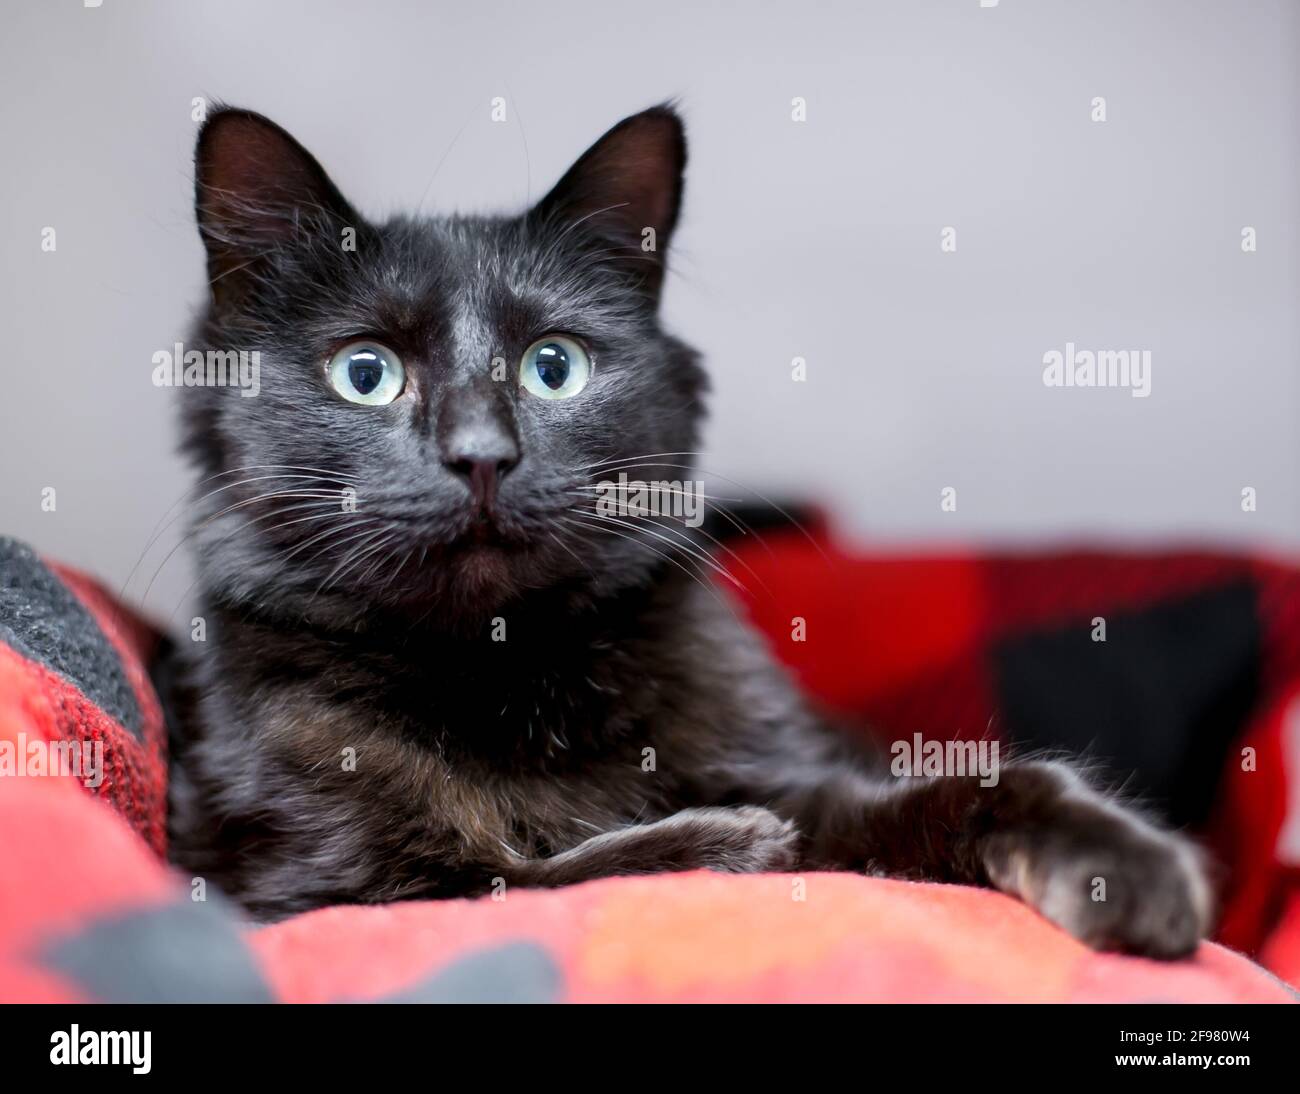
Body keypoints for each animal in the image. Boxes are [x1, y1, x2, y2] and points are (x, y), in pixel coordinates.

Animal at [167, 104, 1211, 956]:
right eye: (366, 373)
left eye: (554, 367)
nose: (481, 456)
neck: (511, 679)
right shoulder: (323, 889)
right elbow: (537, 875)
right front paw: (730, 841)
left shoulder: (808, 779)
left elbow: (978, 789)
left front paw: (1128, 867)